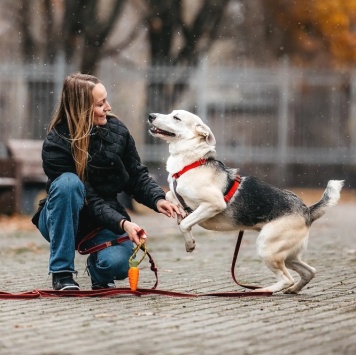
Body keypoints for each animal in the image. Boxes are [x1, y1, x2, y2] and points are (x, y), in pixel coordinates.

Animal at [148, 110, 344, 294]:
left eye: (176, 118)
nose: (151, 116)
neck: (191, 162)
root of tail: (306, 211)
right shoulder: (177, 197)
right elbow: (173, 203)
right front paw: (181, 218)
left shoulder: (214, 204)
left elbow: (185, 224)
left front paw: (189, 242)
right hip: (288, 255)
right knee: (309, 271)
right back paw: (293, 290)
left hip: (267, 247)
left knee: (286, 278)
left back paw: (264, 291)